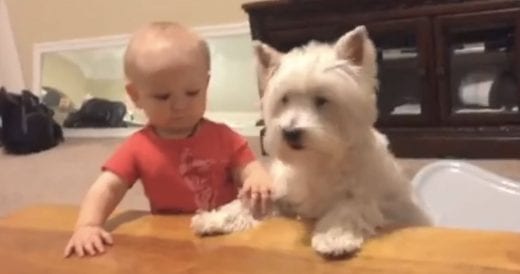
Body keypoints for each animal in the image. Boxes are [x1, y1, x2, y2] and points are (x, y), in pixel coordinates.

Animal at [192, 25, 430, 256]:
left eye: (322, 100)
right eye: (285, 99)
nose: (290, 132)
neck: (317, 161)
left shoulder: (370, 199)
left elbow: (348, 208)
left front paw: (334, 238)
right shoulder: (282, 194)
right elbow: (249, 203)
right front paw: (213, 218)